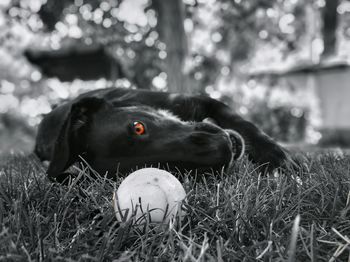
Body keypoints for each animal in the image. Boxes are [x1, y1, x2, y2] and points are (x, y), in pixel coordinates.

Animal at [34, 88, 290, 182]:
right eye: (167, 170)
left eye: (138, 127)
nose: (222, 150)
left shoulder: (200, 101)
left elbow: (244, 124)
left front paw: (277, 158)